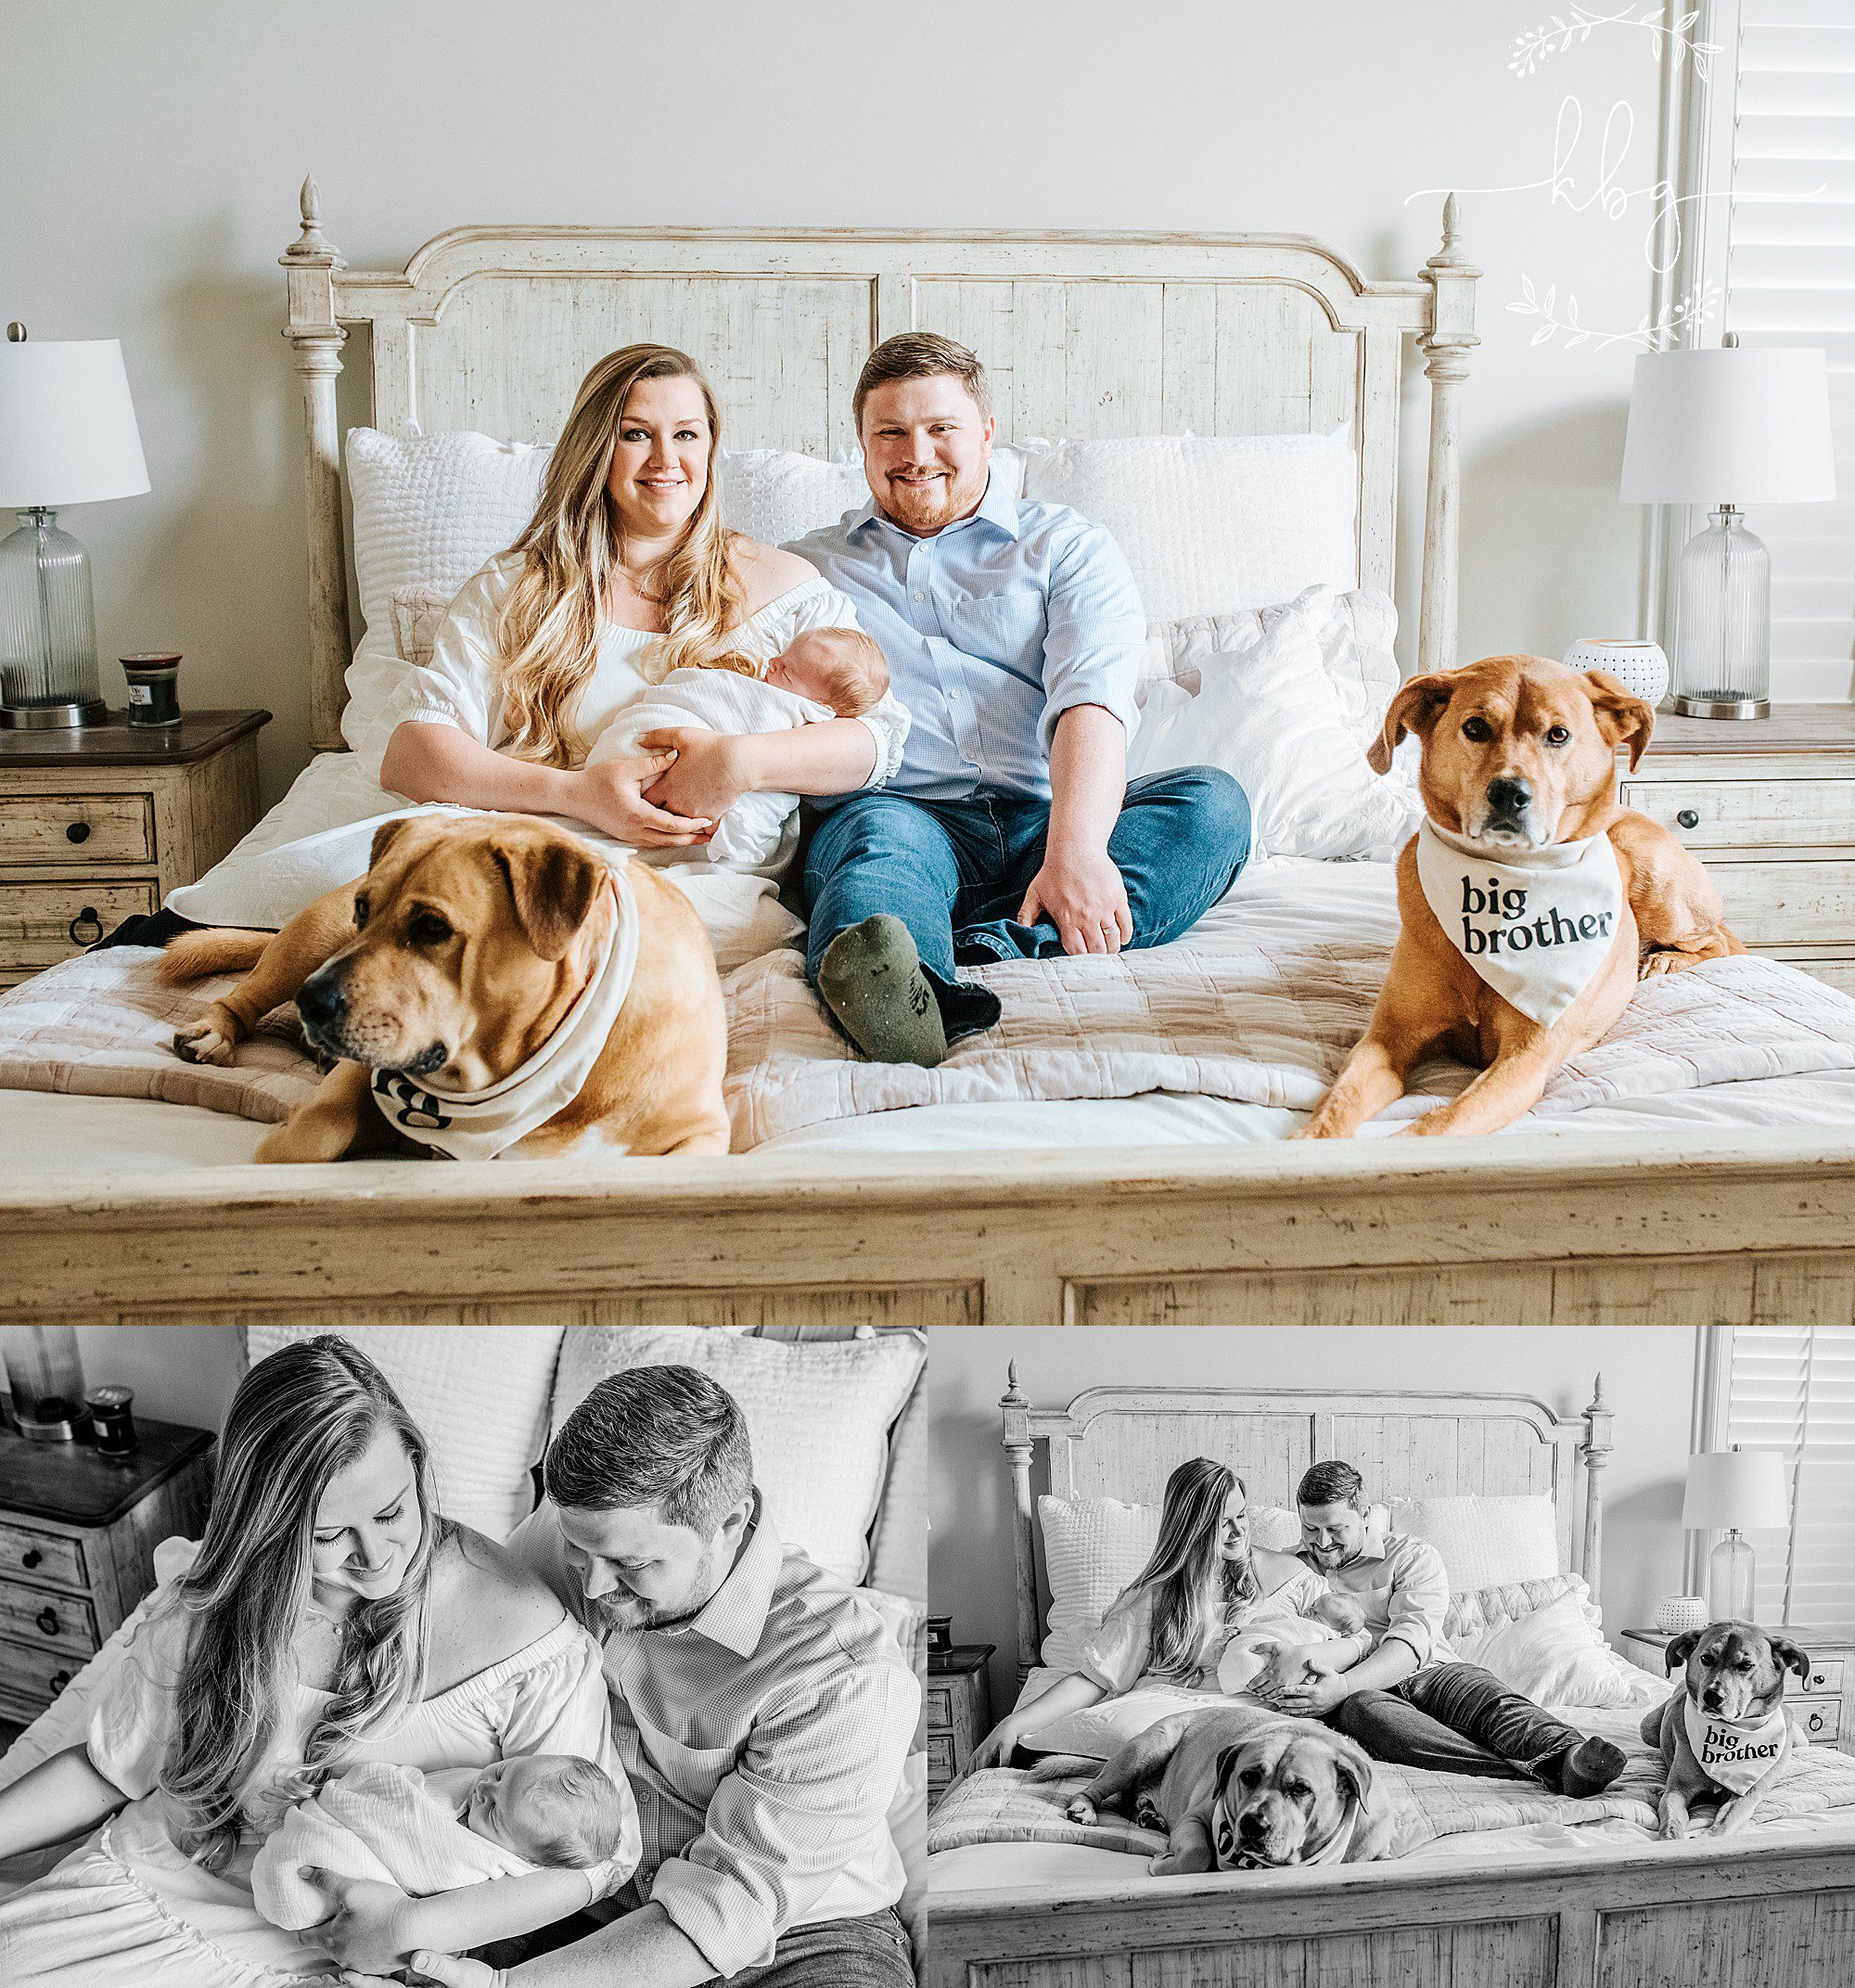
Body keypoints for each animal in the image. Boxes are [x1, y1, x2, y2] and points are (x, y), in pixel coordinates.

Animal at [159, 811, 727, 1161]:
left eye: (432, 927)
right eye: (364, 910)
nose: (311, 1001)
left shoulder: (705, 1134)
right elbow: (310, 1136)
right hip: (309, 941)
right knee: (243, 995)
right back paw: (216, 1031)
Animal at [1057, 1709, 1391, 1876]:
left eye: (1301, 1789)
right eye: (1248, 1776)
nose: (1252, 1824)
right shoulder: (1194, 1819)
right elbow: (1197, 1853)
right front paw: (1162, 1862)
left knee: (1128, 1800)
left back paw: (1149, 1815)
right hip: (1147, 1749)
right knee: (1098, 1789)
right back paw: (1085, 1809)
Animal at [1296, 656, 1741, 1136]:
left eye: (1558, 735)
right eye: (1475, 727)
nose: (1509, 793)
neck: (1504, 879)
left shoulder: (1526, 1059)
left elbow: (1439, 1125)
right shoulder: (1387, 1041)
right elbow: (1337, 1105)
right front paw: (1309, 1141)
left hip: (1653, 876)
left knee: (1721, 939)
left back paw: (1664, 961)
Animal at [1638, 1622, 1812, 1837]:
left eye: (1746, 1665)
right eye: (1706, 1659)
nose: (1712, 1696)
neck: (1733, 1731)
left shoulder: (1746, 1796)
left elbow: (1724, 1823)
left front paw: (1706, 1838)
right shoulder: (1676, 1790)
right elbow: (1672, 1823)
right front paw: (1673, 1838)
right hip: (1646, 1728)